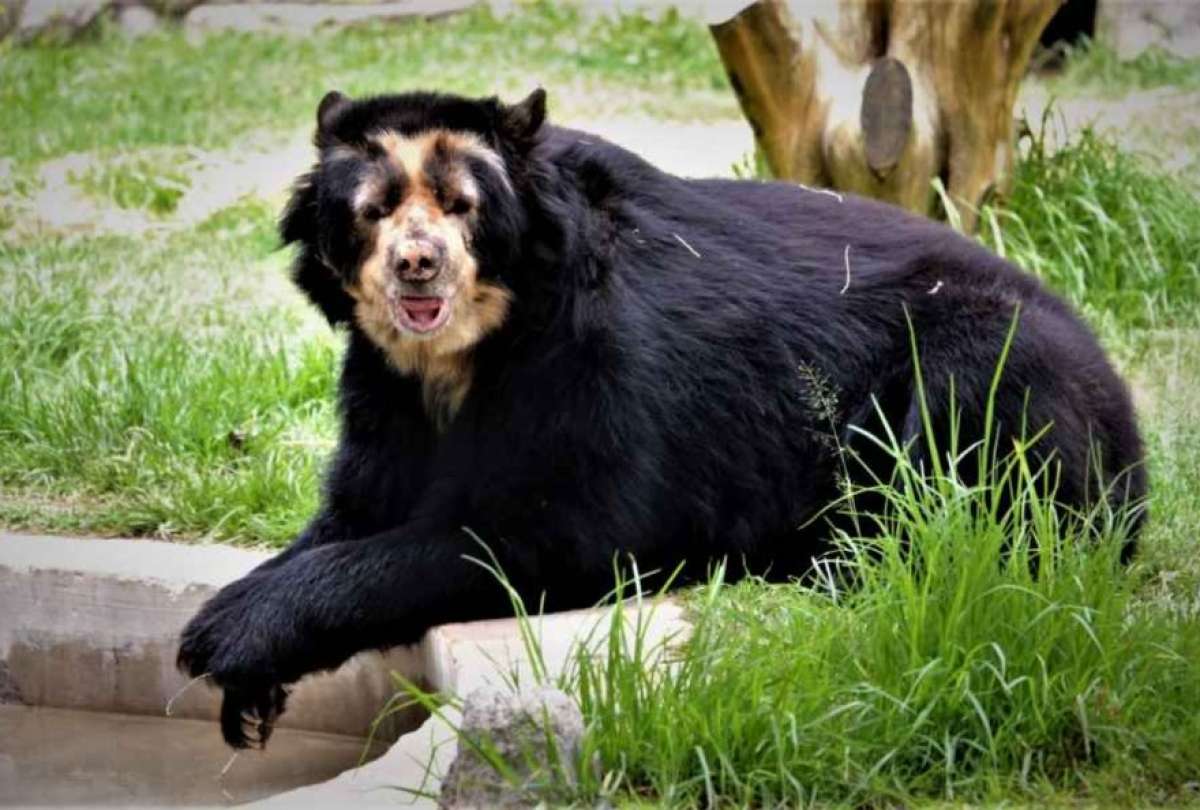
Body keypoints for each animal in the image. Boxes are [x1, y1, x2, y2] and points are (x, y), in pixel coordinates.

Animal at [177, 88, 1146, 748]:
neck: (465, 353)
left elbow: (532, 533)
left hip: (988, 366)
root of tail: (1130, 428)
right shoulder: (383, 388)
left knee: (970, 490)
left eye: (462, 206)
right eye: (373, 210)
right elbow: (354, 511)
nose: (418, 266)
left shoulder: (592, 371)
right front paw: (240, 670)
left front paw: (224, 638)